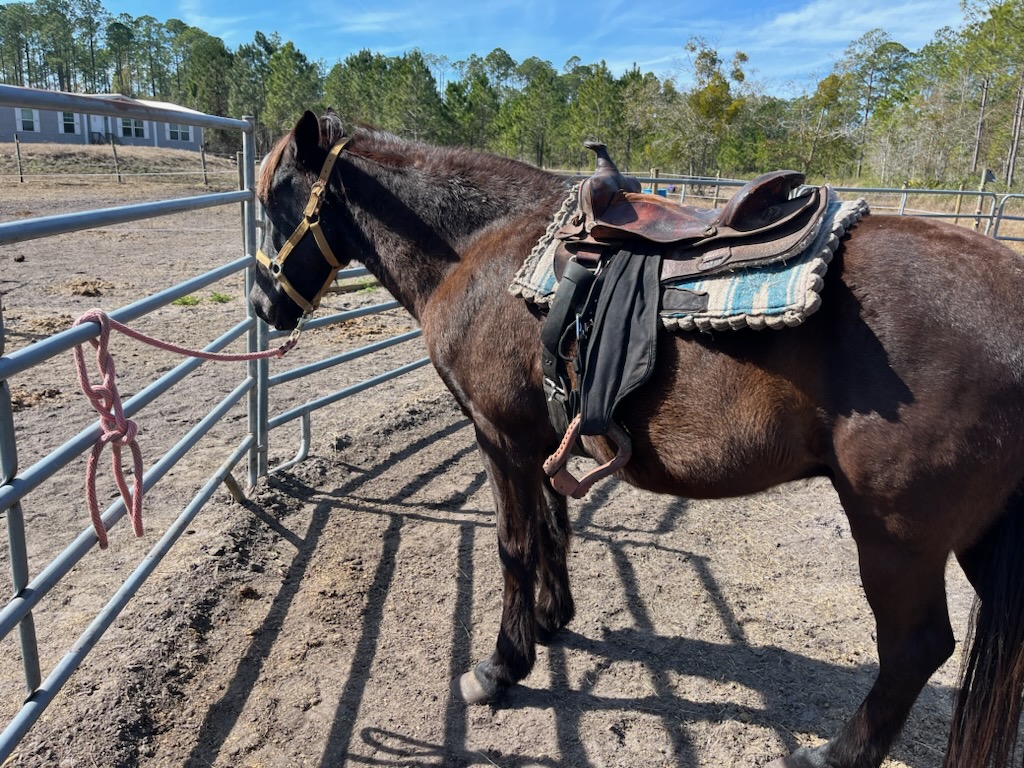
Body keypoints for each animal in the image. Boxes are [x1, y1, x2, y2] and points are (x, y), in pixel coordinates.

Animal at [249, 109, 1024, 768]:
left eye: (274, 203)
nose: (262, 304)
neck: (482, 250)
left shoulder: (499, 437)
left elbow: (513, 546)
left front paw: (500, 666)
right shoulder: (540, 435)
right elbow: (554, 529)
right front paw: (552, 619)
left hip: (896, 538)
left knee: (915, 647)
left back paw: (833, 754)